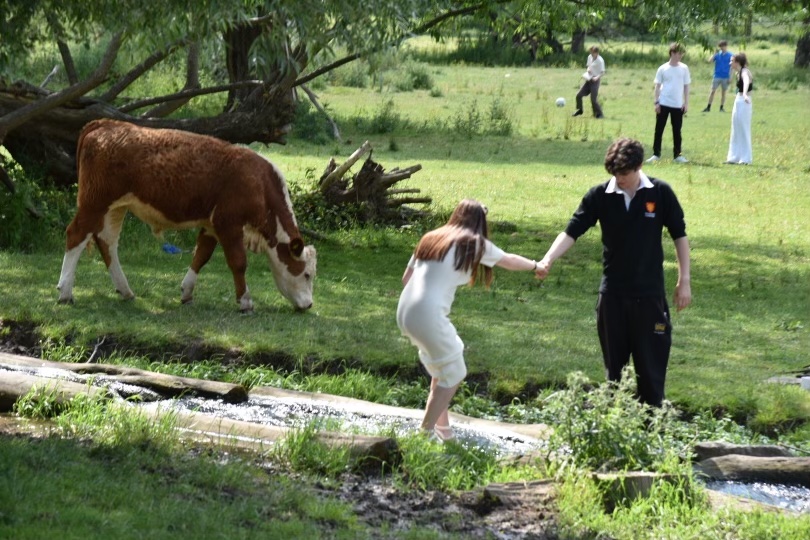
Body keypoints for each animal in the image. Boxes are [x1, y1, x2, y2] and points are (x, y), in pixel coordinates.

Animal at [57, 119, 316, 312]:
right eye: (306, 274)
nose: (309, 305)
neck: (259, 182)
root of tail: (105, 124)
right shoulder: (228, 223)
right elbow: (238, 262)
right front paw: (245, 301)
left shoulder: (211, 225)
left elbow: (201, 256)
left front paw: (187, 293)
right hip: (94, 203)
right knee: (76, 234)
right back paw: (65, 293)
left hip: (115, 207)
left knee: (107, 242)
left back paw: (125, 291)